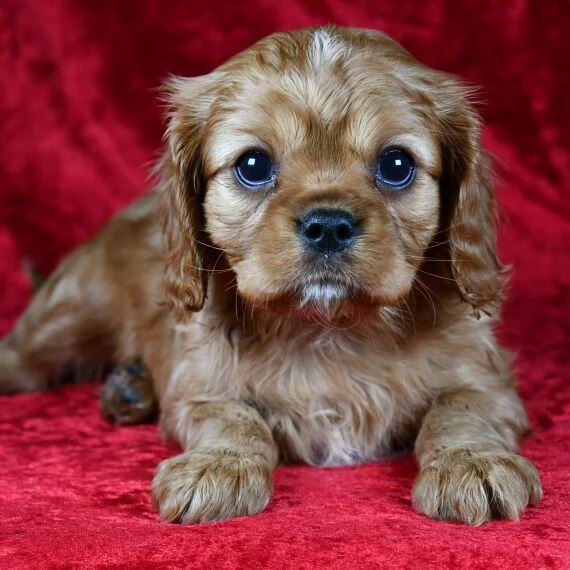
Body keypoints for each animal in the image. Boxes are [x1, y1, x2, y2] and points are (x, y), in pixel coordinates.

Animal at [1, 25, 540, 524]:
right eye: (254, 165)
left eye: (396, 164)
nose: (328, 225)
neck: (330, 330)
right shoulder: (202, 380)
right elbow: (234, 416)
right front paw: (218, 465)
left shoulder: (484, 375)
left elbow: (460, 411)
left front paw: (473, 463)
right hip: (61, 322)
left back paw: (130, 388)